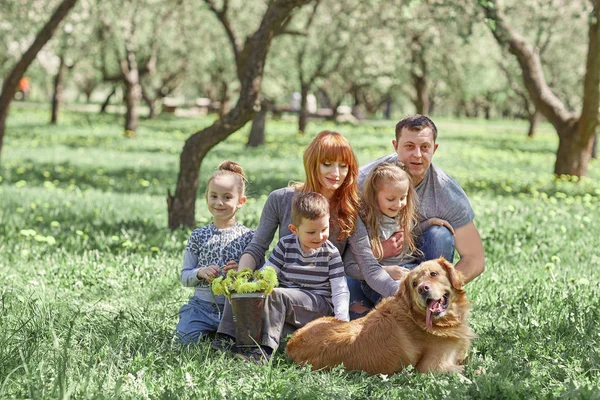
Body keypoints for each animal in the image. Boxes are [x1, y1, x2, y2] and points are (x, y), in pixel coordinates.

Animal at [286, 258, 474, 374]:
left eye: (433, 274)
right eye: (414, 284)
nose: (423, 289)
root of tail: (290, 344)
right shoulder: (431, 368)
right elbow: (466, 372)